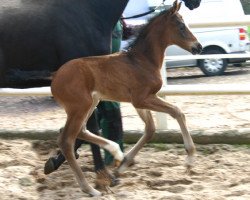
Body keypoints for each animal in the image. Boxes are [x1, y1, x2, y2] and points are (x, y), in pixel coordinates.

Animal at [51, 0, 202, 196]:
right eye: (181, 26)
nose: (198, 47)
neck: (142, 60)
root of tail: (54, 79)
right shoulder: (141, 99)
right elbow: (177, 112)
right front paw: (190, 159)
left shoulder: (140, 101)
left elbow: (150, 129)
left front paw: (123, 164)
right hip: (80, 107)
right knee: (66, 140)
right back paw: (90, 189)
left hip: (91, 103)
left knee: (80, 131)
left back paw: (115, 152)